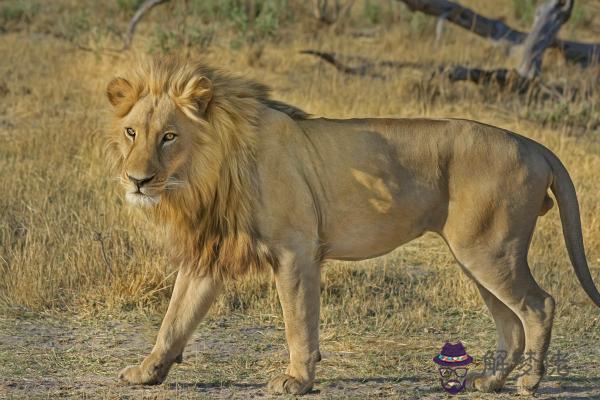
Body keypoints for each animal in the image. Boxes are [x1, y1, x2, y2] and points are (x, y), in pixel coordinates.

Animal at [104, 57, 600, 396]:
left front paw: (297, 380)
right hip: (477, 255)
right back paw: (490, 381)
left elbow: (298, 322)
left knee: (539, 305)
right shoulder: (209, 255)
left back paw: (530, 382)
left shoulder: (296, 250)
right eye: (132, 132)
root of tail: (533, 143)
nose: (137, 179)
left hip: (489, 251)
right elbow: (174, 320)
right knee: (510, 322)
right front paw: (146, 372)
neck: (205, 175)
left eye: (169, 136)